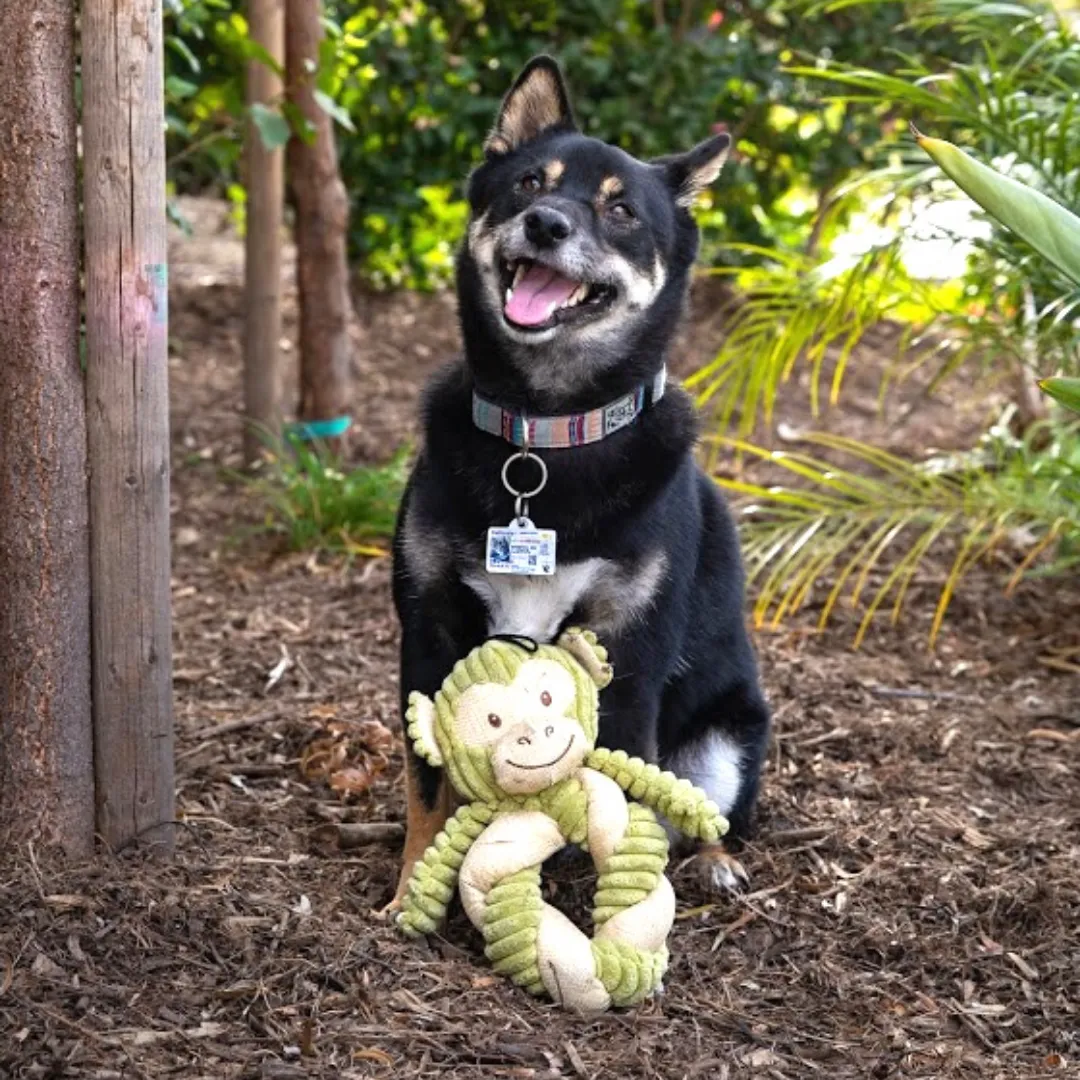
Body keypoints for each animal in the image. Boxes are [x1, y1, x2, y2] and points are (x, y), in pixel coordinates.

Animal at [388, 54, 768, 907]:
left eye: (621, 210)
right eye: (530, 182)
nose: (547, 225)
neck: (545, 433)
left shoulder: (627, 653)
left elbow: (620, 795)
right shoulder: (429, 633)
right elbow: (428, 787)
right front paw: (413, 887)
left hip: (727, 737)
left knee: (701, 811)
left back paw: (714, 861)